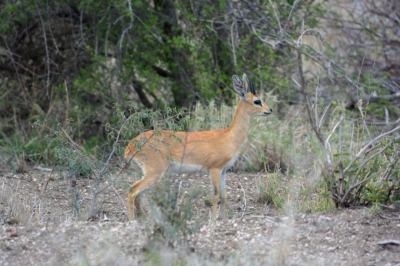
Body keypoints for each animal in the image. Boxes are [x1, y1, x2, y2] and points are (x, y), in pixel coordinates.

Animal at [125, 74, 274, 219]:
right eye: (257, 101)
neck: (229, 136)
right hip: (154, 173)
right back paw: (132, 220)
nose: (270, 110)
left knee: (138, 195)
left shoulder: (224, 171)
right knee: (132, 191)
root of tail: (130, 146)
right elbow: (216, 195)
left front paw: (223, 218)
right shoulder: (214, 169)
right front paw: (213, 220)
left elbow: (224, 196)